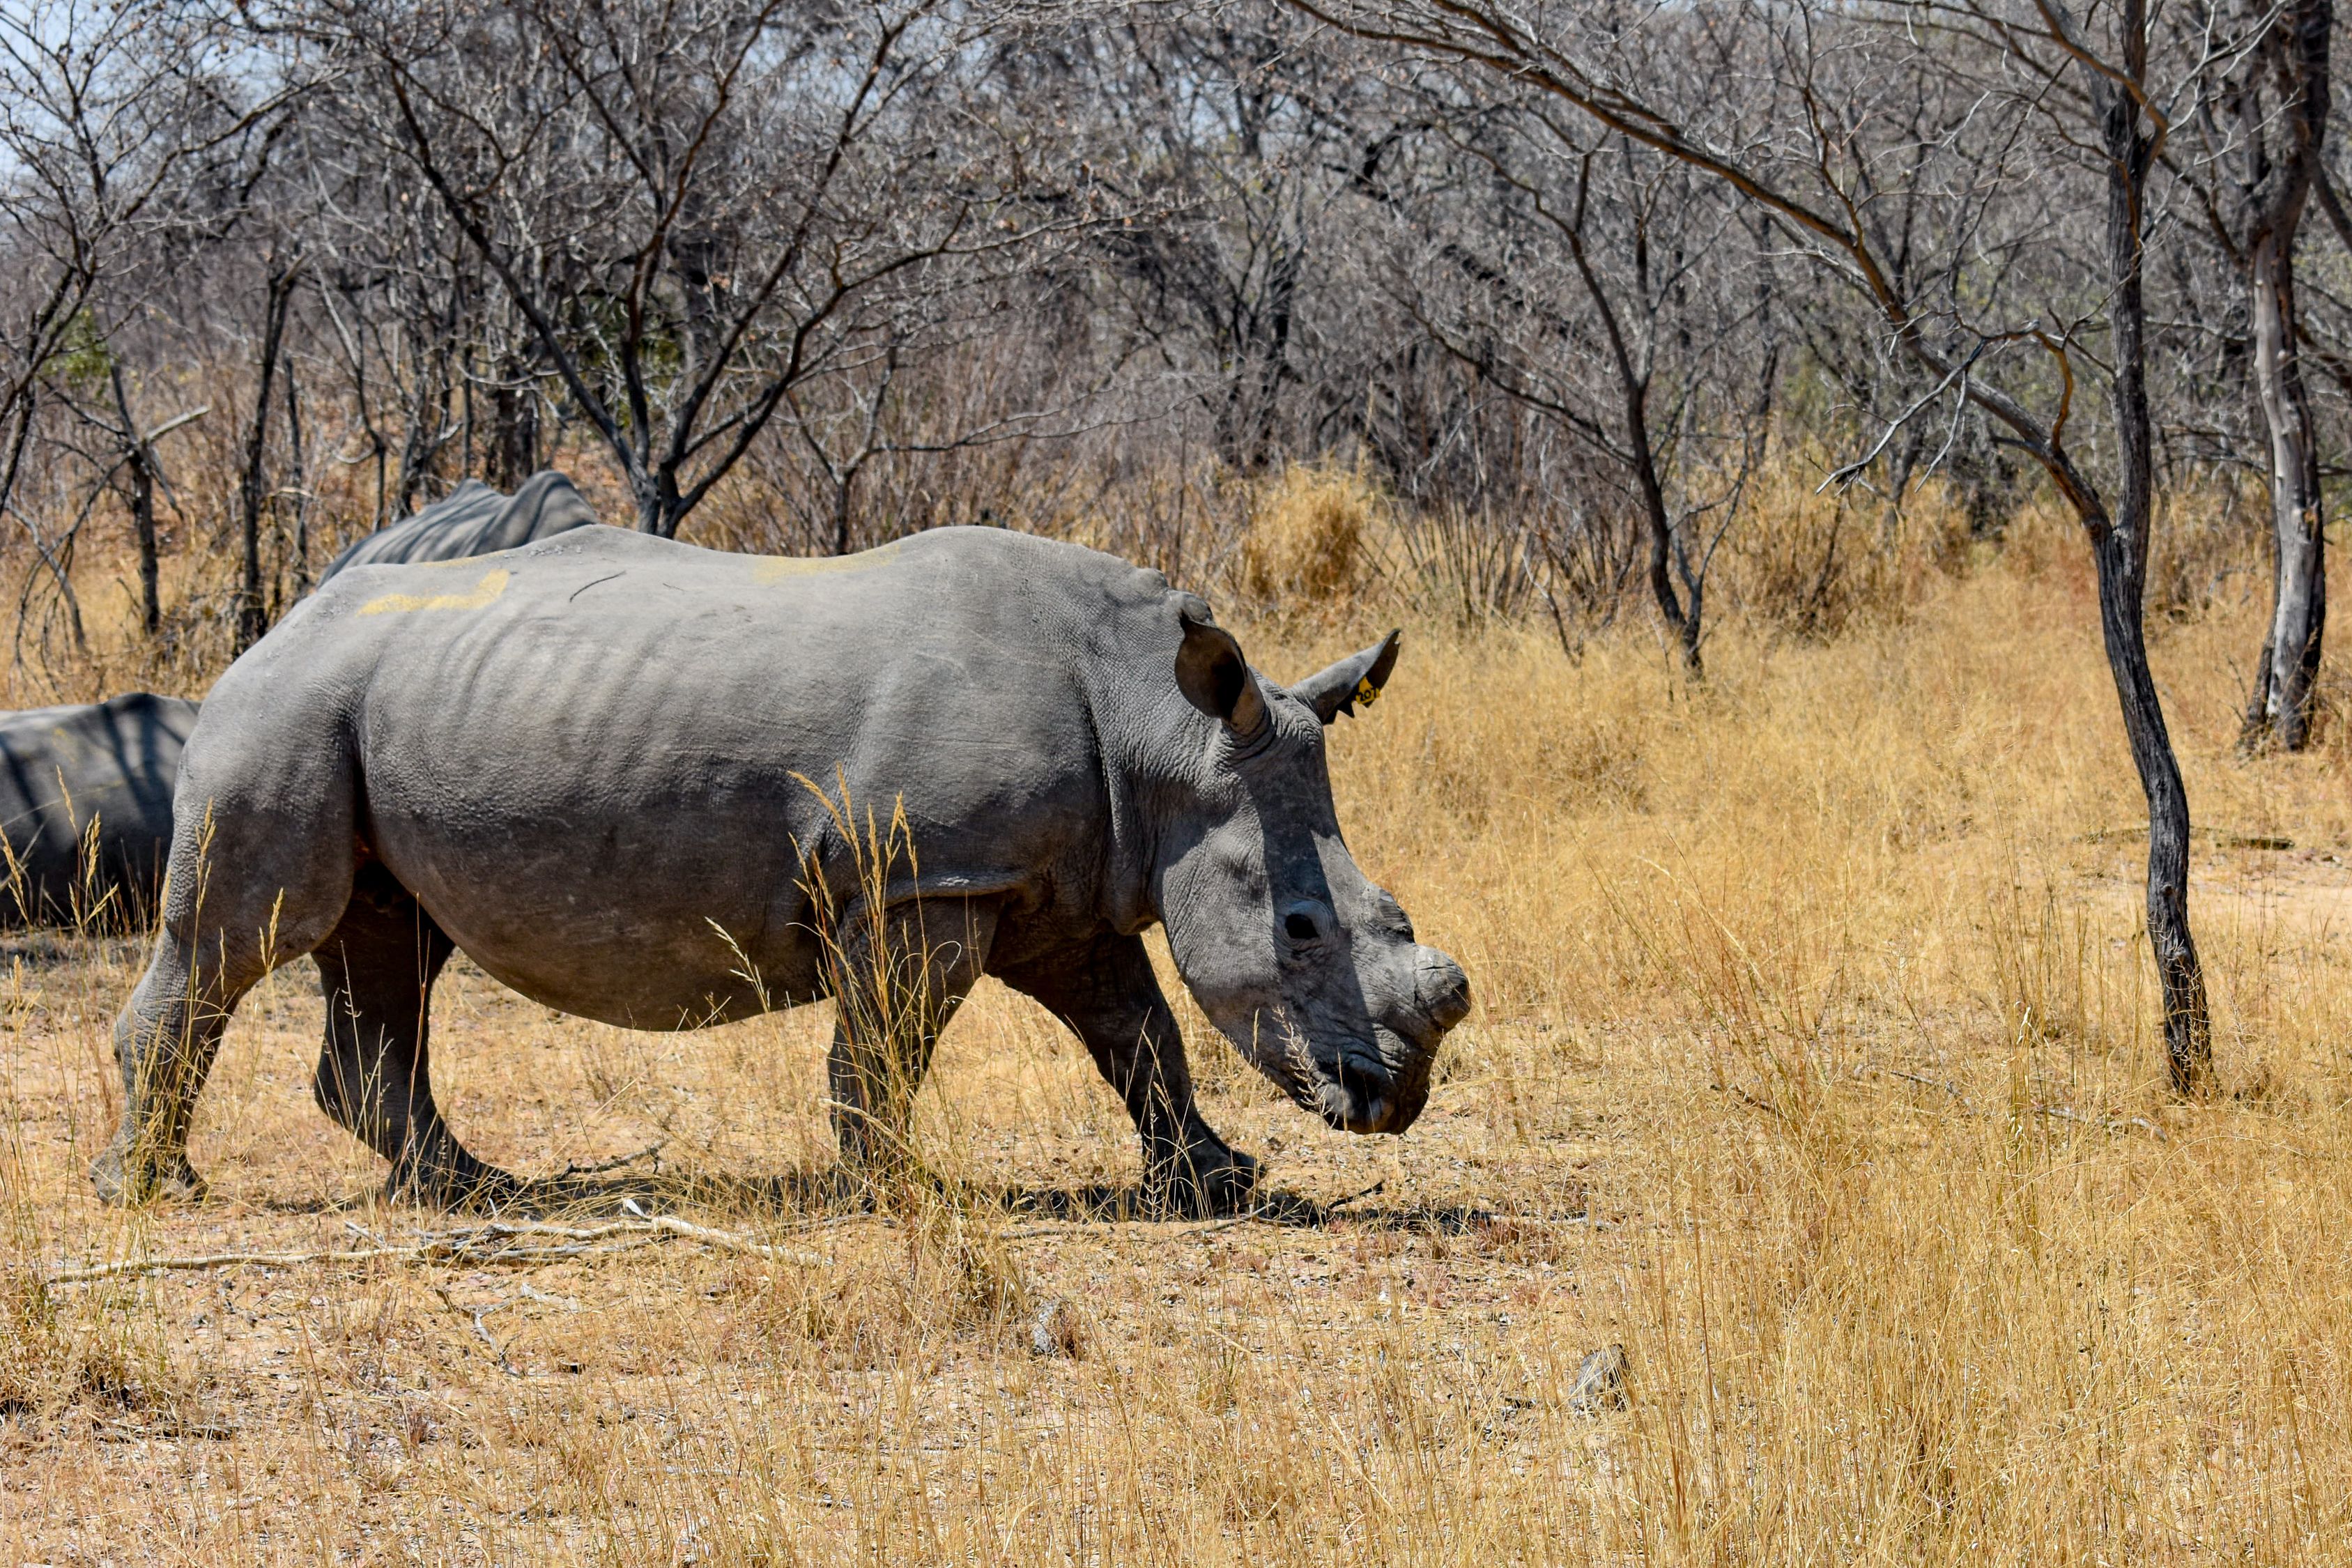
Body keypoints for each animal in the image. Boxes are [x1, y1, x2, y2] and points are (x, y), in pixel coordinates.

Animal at [92, 525, 1472, 1215]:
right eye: (1301, 928)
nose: (1388, 1100)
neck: (1161, 732)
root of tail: (272, 625)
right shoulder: (928, 880)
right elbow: (889, 1040)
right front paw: (896, 1189)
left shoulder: (1053, 882)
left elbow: (1137, 1031)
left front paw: (1218, 1181)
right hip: (281, 710)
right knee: (243, 938)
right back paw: (152, 1191)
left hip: (366, 714)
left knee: (386, 939)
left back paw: (471, 1189)